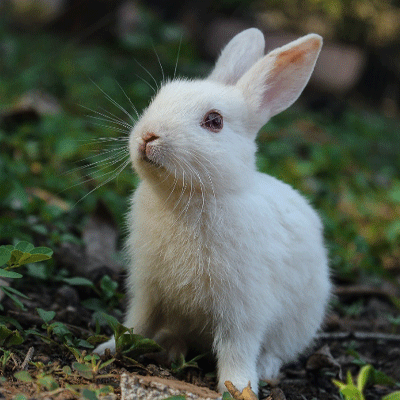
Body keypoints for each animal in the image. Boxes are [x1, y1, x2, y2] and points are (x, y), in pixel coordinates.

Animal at [94, 28, 332, 394]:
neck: (189, 196)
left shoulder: (243, 307)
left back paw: (265, 370)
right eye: (159, 97)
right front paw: (108, 348)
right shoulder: (148, 288)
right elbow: (137, 322)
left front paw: (238, 387)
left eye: (214, 121)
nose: (148, 136)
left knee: (277, 351)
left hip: (299, 322)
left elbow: (237, 347)